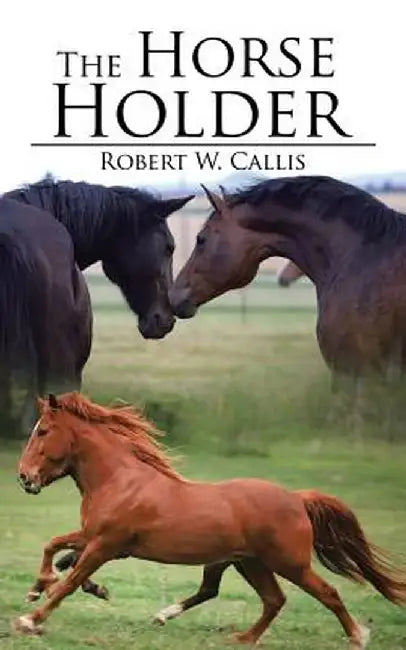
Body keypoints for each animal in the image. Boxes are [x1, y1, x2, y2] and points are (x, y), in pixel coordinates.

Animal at [15, 392, 406, 647]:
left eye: (43, 431)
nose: (23, 477)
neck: (119, 481)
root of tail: (297, 498)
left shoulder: (106, 544)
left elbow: (70, 581)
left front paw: (30, 620)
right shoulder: (94, 537)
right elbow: (54, 546)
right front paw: (38, 587)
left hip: (288, 562)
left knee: (327, 593)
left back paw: (357, 636)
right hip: (250, 563)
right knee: (272, 600)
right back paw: (241, 638)